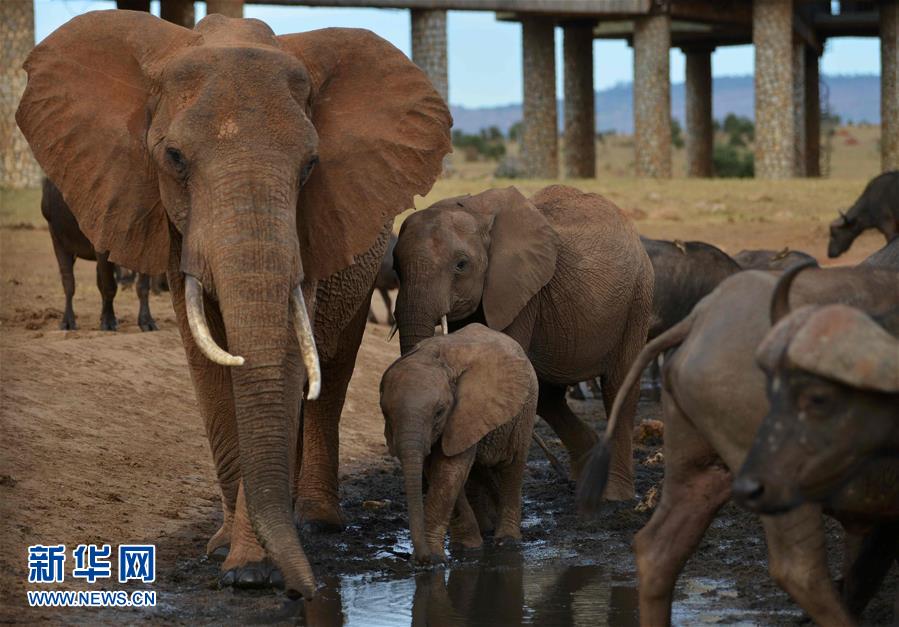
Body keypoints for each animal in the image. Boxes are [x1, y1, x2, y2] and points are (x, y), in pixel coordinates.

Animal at [14, 8, 450, 600]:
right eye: (173, 158)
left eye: (311, 165)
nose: (308, 592)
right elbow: (212, 374)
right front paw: (229, 555)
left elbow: (285, 362)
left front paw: (249, 569)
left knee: (330, 380)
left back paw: (314, 522)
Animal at [378, 324, 536, 564]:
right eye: (385, 414)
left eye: (439, 412)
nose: (421, 559)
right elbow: (439, 471)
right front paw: (465, 548)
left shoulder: (465, 413)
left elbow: (449, 470)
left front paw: (436, 558)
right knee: (478, 471)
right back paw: (487, 528)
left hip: (526, 406)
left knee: (513, 465)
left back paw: (506, 540)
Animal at [394, 186, 652, 500]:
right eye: (395, 266)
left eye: (461, 265)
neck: (474, 209)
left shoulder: (521, 292)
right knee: (548, 396)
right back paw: (582, 481)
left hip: (637, 300)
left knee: (618, 387)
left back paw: (615, 496)